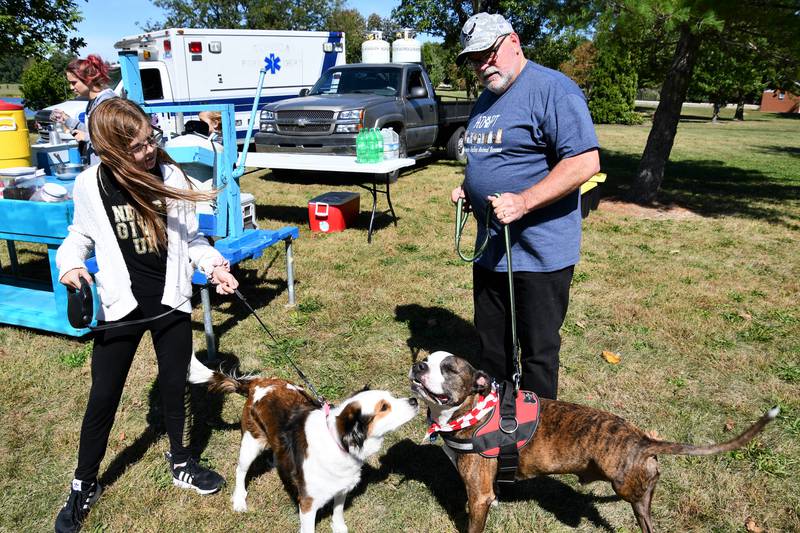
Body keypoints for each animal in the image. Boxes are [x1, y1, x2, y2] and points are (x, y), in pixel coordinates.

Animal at [190, 356, 418, 528]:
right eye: (384, 407)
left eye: (390, 397)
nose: (415, 400)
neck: (338, 443)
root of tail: (257, 383)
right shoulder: (307, 503)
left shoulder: (342, 488)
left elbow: (338, 513)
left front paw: (339, 527)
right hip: (250, 442)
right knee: (240, 470)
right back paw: (239, 500)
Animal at [410, 350, 780, 532]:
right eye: (426, 359)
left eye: (449, 369)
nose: (418, 365)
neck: (475, 409)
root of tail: (643, 441)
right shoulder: (485, 489)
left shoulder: (478, 494)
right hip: (640, 497)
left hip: (627, 487)